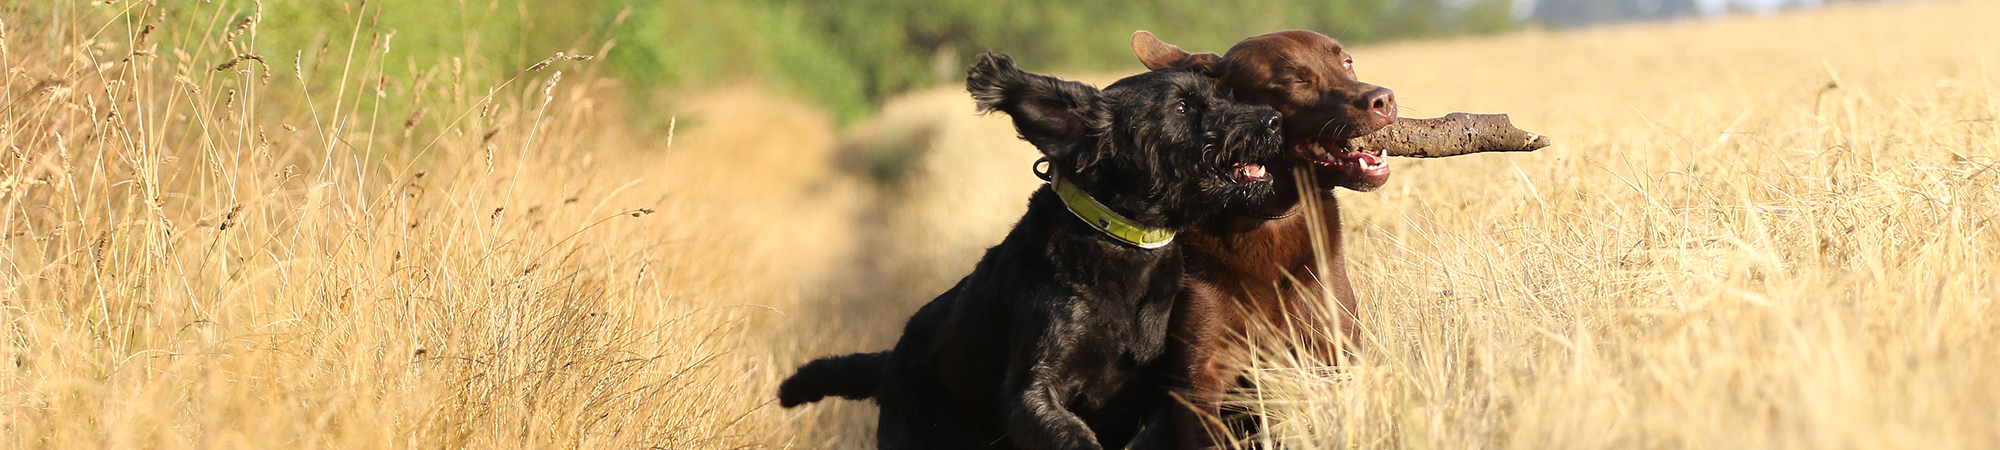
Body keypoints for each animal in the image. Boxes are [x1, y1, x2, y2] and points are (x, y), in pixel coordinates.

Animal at [780, 53, 1280, 450]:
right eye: (1181, 107)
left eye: (1224, 96)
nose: (1273, 120)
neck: (1122, 245)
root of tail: (893, 356)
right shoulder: (1034, 390)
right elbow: (1070, 432)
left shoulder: (1164, 387)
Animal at [1136, 29, 1400, 448]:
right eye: (1294, 81)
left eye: (1347, 62)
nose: (1384, 99)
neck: (1266, 218)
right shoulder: (1201, 377)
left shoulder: (1337, 347)